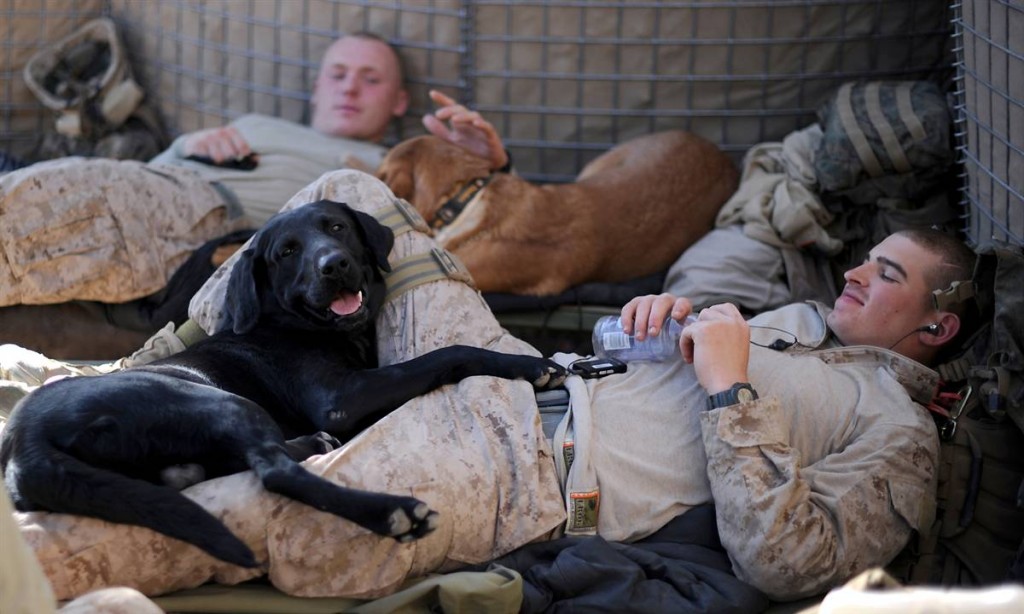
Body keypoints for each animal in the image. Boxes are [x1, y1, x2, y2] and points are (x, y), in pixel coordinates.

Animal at [0, 199, 565, 568]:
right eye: (287, 252)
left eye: (336, 227)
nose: (334, 265)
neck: (298, 323)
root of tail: (25, 442)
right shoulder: (342, 399)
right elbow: (447, 354)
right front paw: (525, 363)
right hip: (220, 401)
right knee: (275, 472)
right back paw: (391, 511)